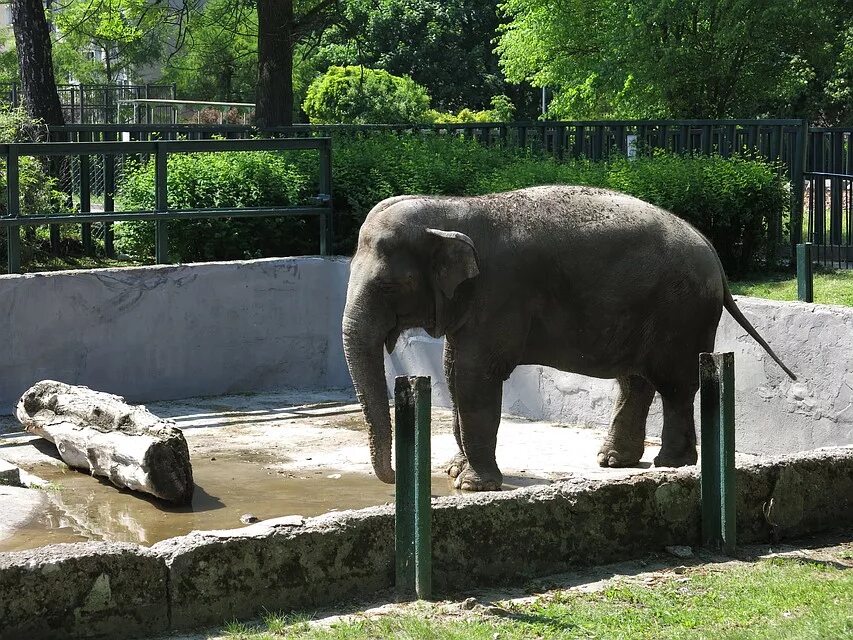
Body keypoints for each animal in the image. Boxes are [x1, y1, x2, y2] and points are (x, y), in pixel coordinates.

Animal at [342, 185, 800, 490]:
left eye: (388, 286)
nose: (395, 477)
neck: (452, 208)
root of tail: (713, 255)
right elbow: (454, 371)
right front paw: (456, 471)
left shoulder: (500, 294)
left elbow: (474, 376)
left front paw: (471, 485)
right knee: (637, 380)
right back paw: (614, 461)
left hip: (683, 311)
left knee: (674, 383)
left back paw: (670, 464)